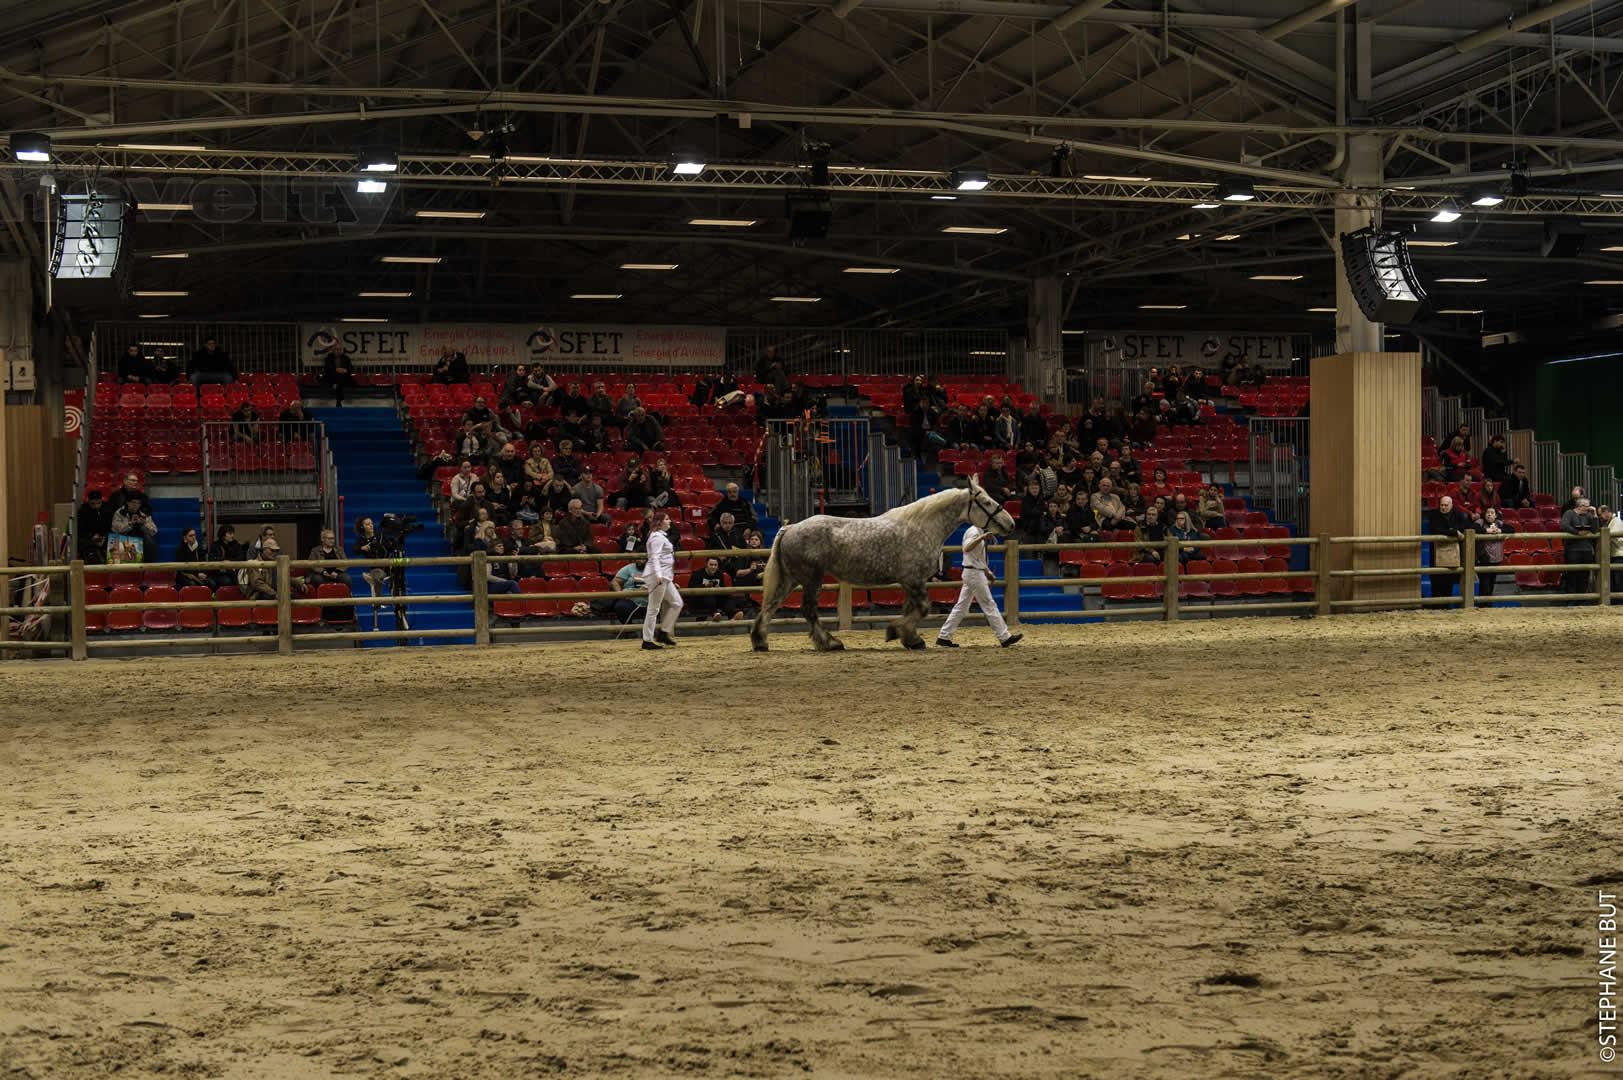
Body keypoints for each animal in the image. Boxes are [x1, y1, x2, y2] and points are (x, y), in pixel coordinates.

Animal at [749, 477, 1012, 649]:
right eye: (987, 502)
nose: (1010, 523)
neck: (922, 527)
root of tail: (790, 528)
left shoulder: (908, 582)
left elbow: (911, 609)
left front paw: (909, 637)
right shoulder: (914, 579)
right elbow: (923, 608)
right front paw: (899, 633)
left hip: (791, 579)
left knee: (770, 605)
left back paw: (760, 641)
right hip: (811, 579)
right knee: (808, 610)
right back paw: (830, 643)